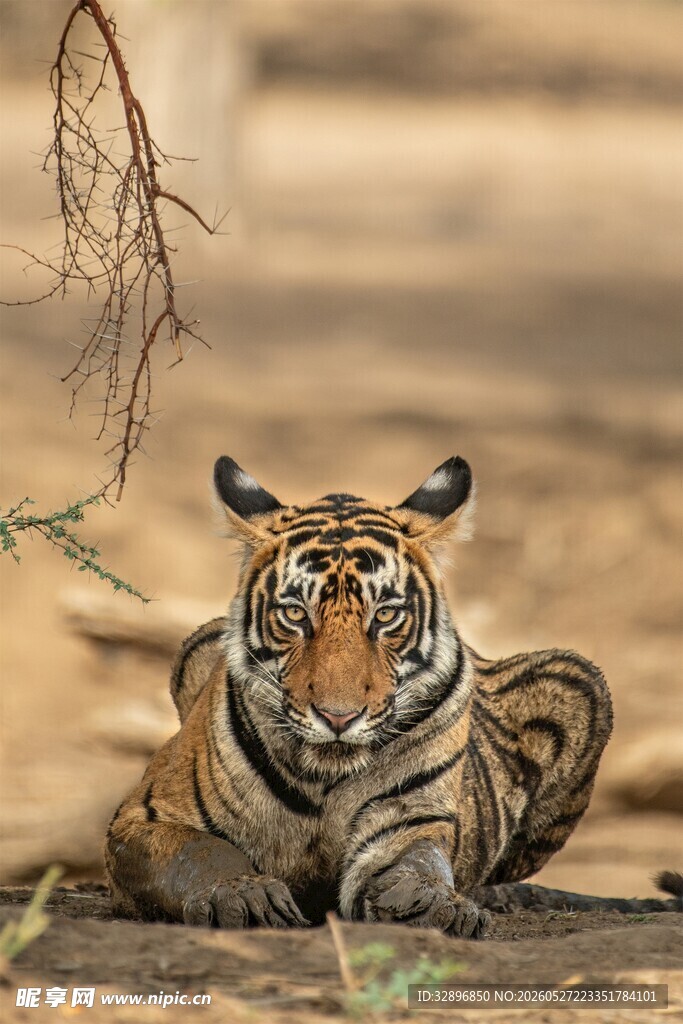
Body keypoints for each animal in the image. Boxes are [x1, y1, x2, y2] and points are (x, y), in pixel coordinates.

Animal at [105, 456, 682, 937]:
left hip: (579, 677)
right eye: (295, 614)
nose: (338, 717)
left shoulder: (410, 821)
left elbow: (419, 860)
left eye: (384, 615)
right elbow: (200, 851)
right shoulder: (142, 818)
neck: (325, 776)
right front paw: (243, 897)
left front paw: (430, 902)